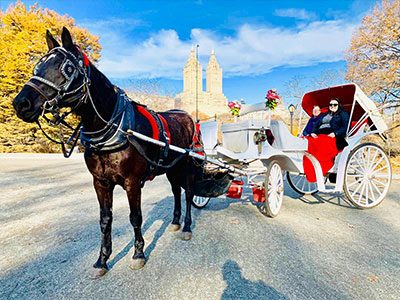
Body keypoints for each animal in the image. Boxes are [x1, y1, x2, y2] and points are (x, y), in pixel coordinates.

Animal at [12, 27, 203, 278]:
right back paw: (175, 221)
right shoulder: (100, 182)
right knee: (176, 192)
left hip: (187, 164)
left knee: (189, 192)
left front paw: (138, 254)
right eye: (37, 67)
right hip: (170, 167)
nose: (21, 103)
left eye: (67, 68)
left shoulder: (132, 182)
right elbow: (105, 220)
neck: (114, 127)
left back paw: (187, 226)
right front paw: (102, 259)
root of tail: (188, 115)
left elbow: (135, 217)